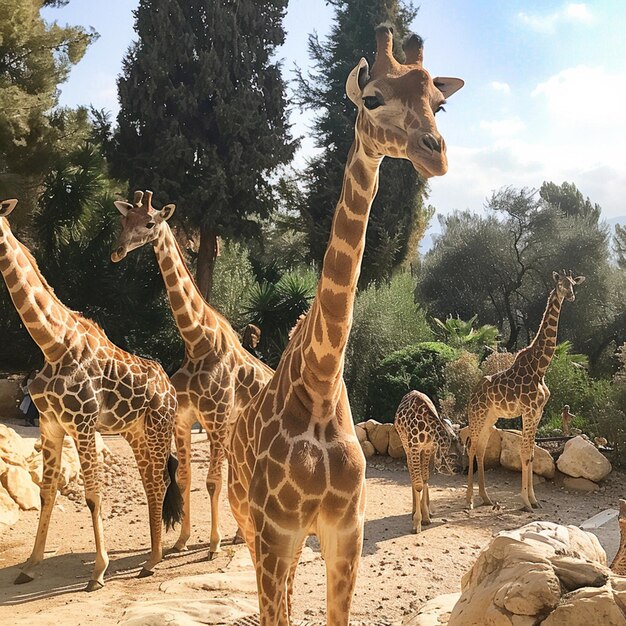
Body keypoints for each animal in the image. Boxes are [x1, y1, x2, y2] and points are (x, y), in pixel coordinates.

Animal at [0, 197, 180, 588]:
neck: (52, 344)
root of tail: (171, 388)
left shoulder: (82, 426)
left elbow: (94, 495)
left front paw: (98, 571)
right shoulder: (50, 424)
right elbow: (47, 492)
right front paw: (29, 566)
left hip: (158, 429)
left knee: (160, 480)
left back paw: (154, 559)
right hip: (135, 433)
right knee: (150, 481)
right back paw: (151, 556)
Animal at [111, 188, 272, 552]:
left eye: (149, 222)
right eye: (123, 220)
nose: (117, 252)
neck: (198, 343)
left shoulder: (214, 419)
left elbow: (212, 481)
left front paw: (212, 545)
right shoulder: (184, 420)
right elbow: (184, 479)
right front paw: (182, 541)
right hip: (235, 428)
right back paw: (240, 533)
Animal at [394, 390, 464, 532]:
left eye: (462, 449)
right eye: (453, 455)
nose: (462, 469)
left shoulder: (428, 448)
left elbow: (425, 478)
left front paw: (426, 517)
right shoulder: (414, 448)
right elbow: (418, 484)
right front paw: (417, 523)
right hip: (406, 445)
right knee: (412, 473)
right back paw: (413, 511)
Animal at [464, 270, 584, 510]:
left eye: (573, 284)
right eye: (560, 284)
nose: (571, 296)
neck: (541, 367)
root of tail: (473, 394)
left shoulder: (538, 411)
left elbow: (531, 453)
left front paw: (534, 500)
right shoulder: (528, 411)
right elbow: (524, 452)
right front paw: (526, 502)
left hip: (491, 417)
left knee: (480, 448)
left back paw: (486, 497)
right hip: (478, 415)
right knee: (472, 447)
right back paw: (470, 500)